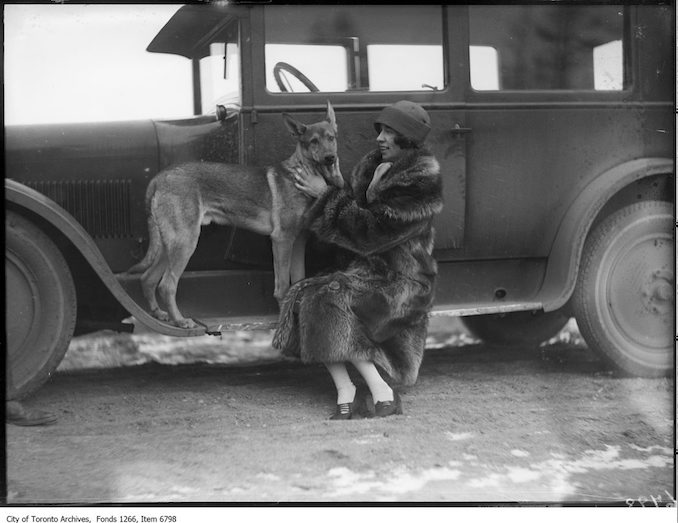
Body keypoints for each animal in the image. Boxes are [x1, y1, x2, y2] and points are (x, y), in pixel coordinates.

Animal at [131, 102, 346, 328]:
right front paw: (282, 320)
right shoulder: (282, 240)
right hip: (185, 242)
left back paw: (159, 314)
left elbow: (297, 282)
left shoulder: (298, 242)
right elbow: (282, 287)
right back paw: (181, 321)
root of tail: (159, 178)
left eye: (331, 138)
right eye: (313, 141)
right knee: (167, 285)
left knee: (148, 278)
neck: (304, 174)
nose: (331, 158)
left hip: (169, 244)